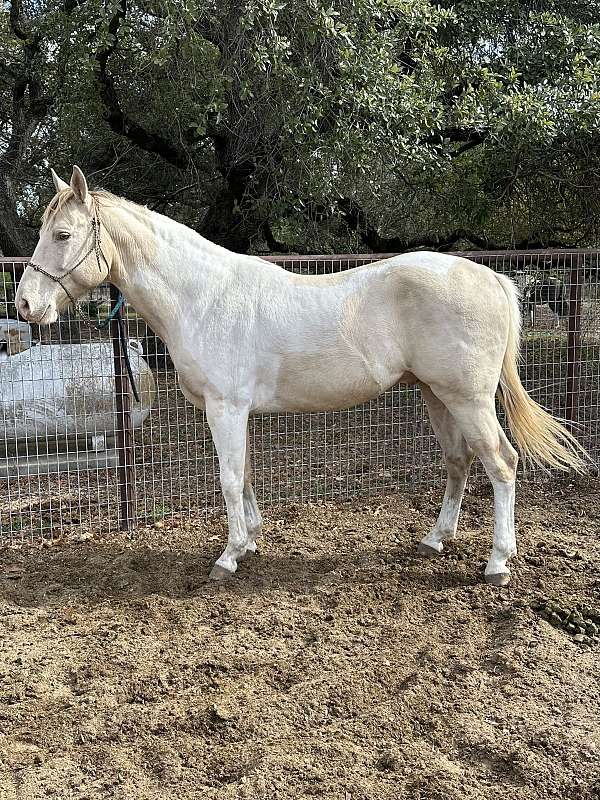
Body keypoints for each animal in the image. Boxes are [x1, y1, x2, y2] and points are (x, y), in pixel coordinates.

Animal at [15, 166, 592, 584]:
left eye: (62, 234)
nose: (24, 305)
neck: (203, 297)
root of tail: (490, 275)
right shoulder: (236, 413)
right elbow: (245, 475)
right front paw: (248, 542)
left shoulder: (226, 409)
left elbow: (229, 478)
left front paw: (227, 558)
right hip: (437, 395)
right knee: (458, 461)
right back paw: (434, 540)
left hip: (468, 399)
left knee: (501, 463)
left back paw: (497, 563)